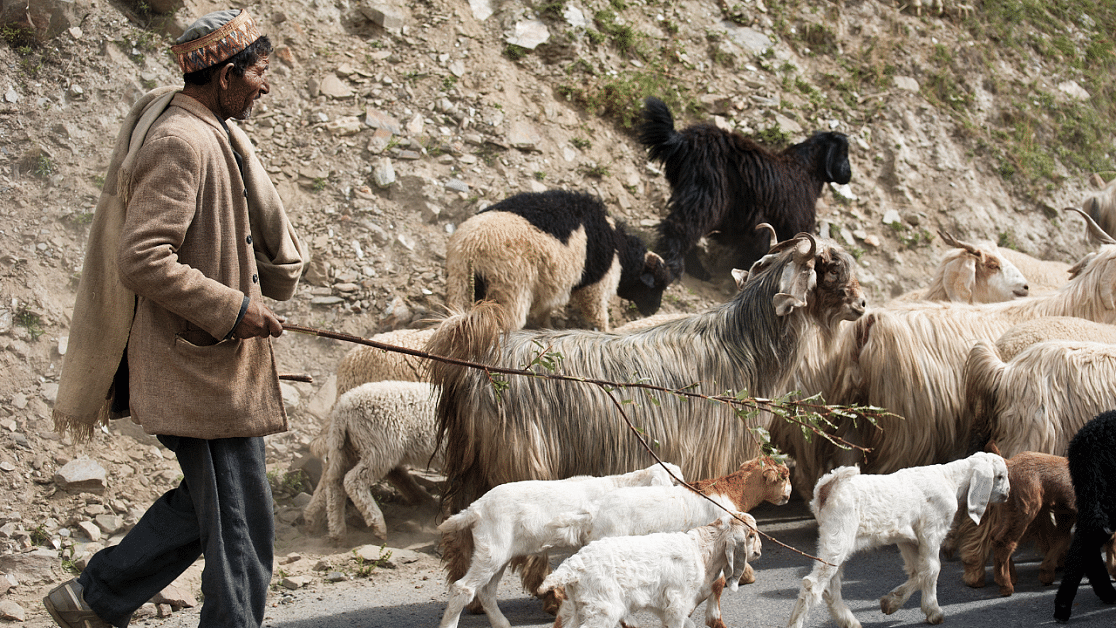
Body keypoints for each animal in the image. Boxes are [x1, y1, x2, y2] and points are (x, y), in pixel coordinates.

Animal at [439, 461, 682, 628]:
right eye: (674, 483)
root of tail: (476, 507)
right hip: (493, 547)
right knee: (463, 588)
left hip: (499, 552)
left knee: (486, 591)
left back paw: (502, 624)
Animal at [537, 513, 763, 628]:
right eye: (751, 535)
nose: (759, 552)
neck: (701, 548)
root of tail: (573, 565)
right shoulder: (677, 604)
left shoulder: (665, 606)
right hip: (602, 610)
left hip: (580, 607)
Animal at [642, 94, 848, 281]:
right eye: (844, 153)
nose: (848, 174)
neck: (805, 170)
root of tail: (683, 140)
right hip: (706, 197)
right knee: (680, 228)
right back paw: (675, 267)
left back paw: (698, 270)